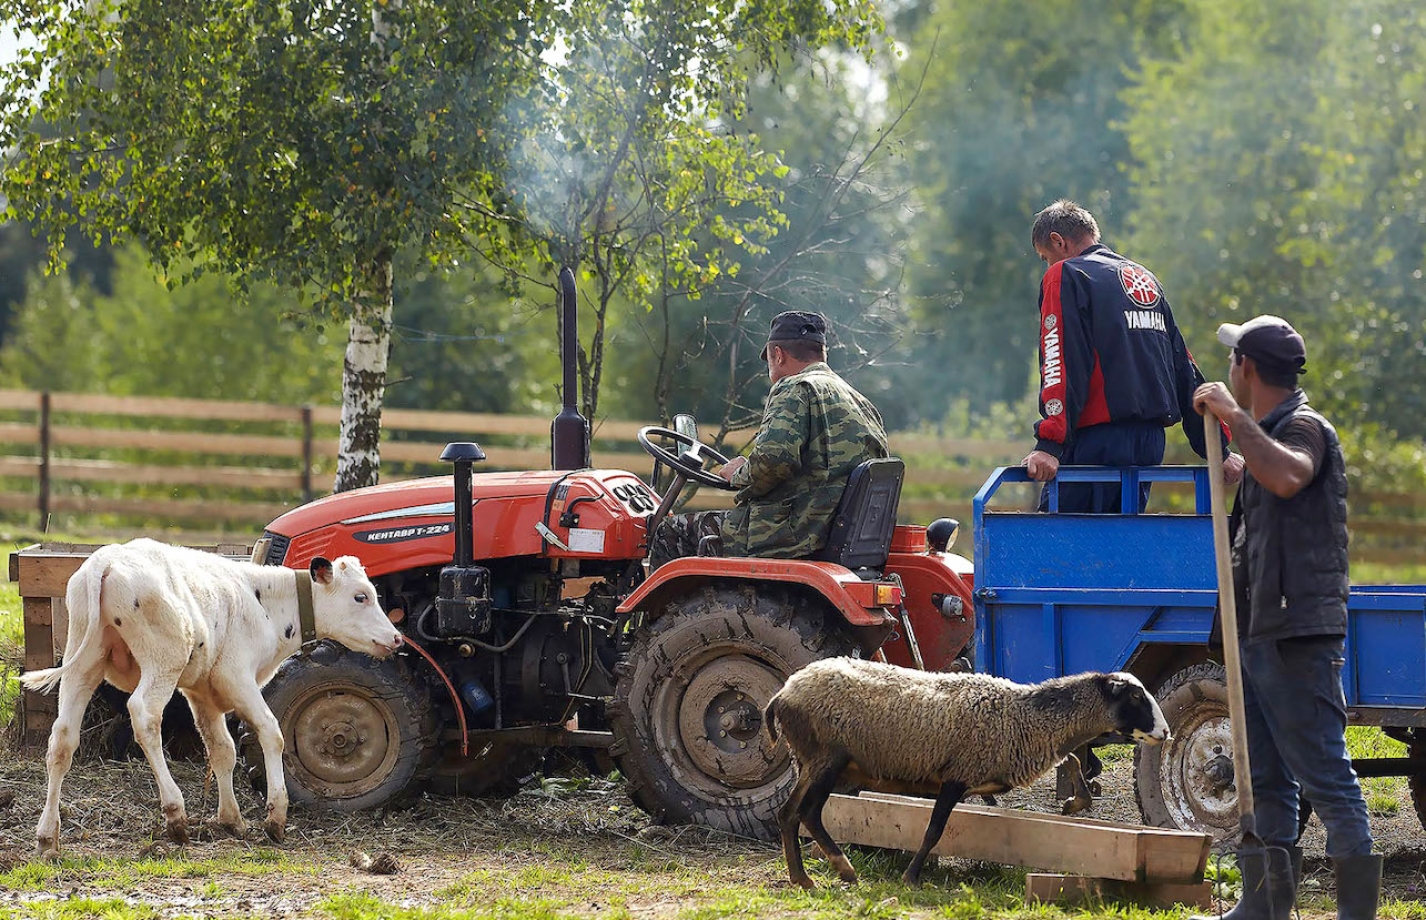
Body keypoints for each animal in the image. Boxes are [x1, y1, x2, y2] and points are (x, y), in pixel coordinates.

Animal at [20, 539, 402, 855]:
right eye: (361, 596)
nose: (397, 638)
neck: (265, 603)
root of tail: (106, 560)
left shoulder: (202, 691)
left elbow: (222, 750)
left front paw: (231, 819)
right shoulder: (237, 676)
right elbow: (272, 733)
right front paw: (275, 816)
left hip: (84, 661)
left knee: (63, 738)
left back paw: (47, 836)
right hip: (164, 658)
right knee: (144, 715)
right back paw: (175, 814)